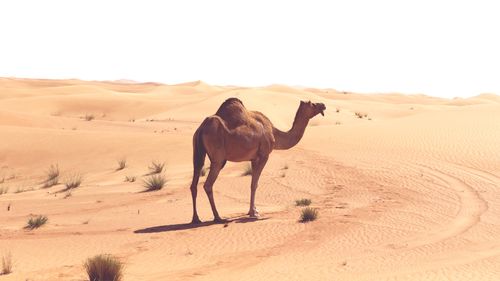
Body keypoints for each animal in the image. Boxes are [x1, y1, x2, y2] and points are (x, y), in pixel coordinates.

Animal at [189, 97, 326, 222]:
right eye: (312, 103)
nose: (323, 105)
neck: (274, 133)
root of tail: (201, 128)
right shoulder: (264, 155)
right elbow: (255, 184)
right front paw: (253, 213)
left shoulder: (253, 158)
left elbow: (252, 184)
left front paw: (253, 210)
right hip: (218, 159)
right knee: (208, 184)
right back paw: (217, 217)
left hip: (197, 153)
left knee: (194, 183)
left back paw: (196, 218)